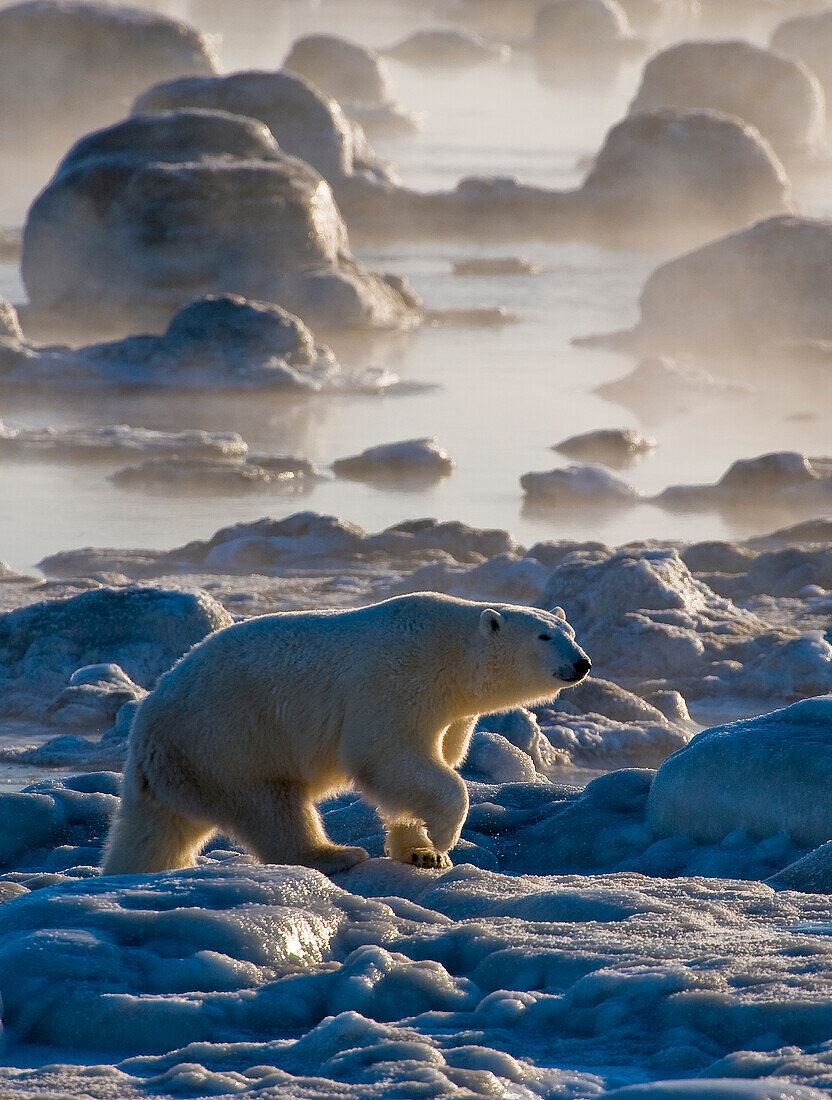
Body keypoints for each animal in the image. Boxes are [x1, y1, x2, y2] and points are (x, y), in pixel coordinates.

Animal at [99, 594, 589, 875]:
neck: (450, 653)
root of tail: (146, 734)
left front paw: (422, 852)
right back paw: (334, 854)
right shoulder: (395, 681)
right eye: (544, 637)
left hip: (191, 766)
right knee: (273, 808)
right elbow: (390, 756)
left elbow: (429, 766)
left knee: (153, 834)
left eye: (570, 631)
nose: (581, 663)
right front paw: (444, 837)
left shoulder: (451, 714)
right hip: (229, 743)